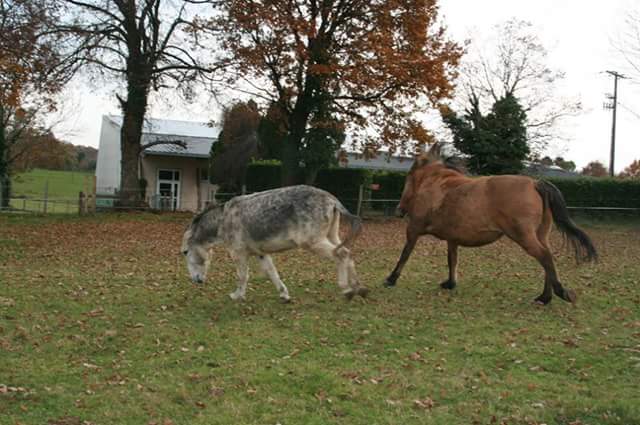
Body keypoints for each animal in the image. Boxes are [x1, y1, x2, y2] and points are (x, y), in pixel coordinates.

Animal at [181, 186, 370, 302]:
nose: (196, 281)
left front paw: (237, 296)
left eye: (185, 252)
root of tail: (331, 200)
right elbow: (272, 273)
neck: (223, 220)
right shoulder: (261, 253)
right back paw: (359, 288)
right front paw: (284, 295)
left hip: (314, 242)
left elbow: (242, 276)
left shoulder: (238, 253)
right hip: (331, 237)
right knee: (348, 254)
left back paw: (347, 290)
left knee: (342, 254)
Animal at [384, 144, 600, 304]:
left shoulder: (413, 229)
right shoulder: (452, 238)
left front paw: (391, 279)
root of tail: (535, 183)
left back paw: (555, 294)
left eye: (409, 174)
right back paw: (544, 297)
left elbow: (404, 255)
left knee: (545, 257)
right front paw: (450, 283)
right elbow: (452, 260)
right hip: (540, 234)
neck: (436, 184)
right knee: (547, 258)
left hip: (524, 236)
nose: (399, 210)